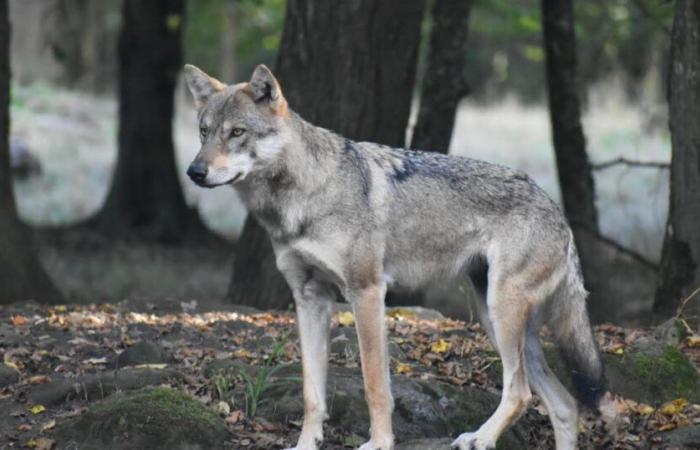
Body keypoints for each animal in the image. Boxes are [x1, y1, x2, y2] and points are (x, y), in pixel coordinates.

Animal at [183, 64, 604, 450]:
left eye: (237, 132)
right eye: (204, 132)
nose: (194, 171)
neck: (303, 197)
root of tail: (556, 208)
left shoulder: (367, 292)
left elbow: (374, 384)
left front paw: (380, 442)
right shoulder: (309, 299)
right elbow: (311, 393)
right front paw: (306, 444)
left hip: (502, 314)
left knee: (520, 393)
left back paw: (479, 438)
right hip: (495, 318)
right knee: (565, 405)